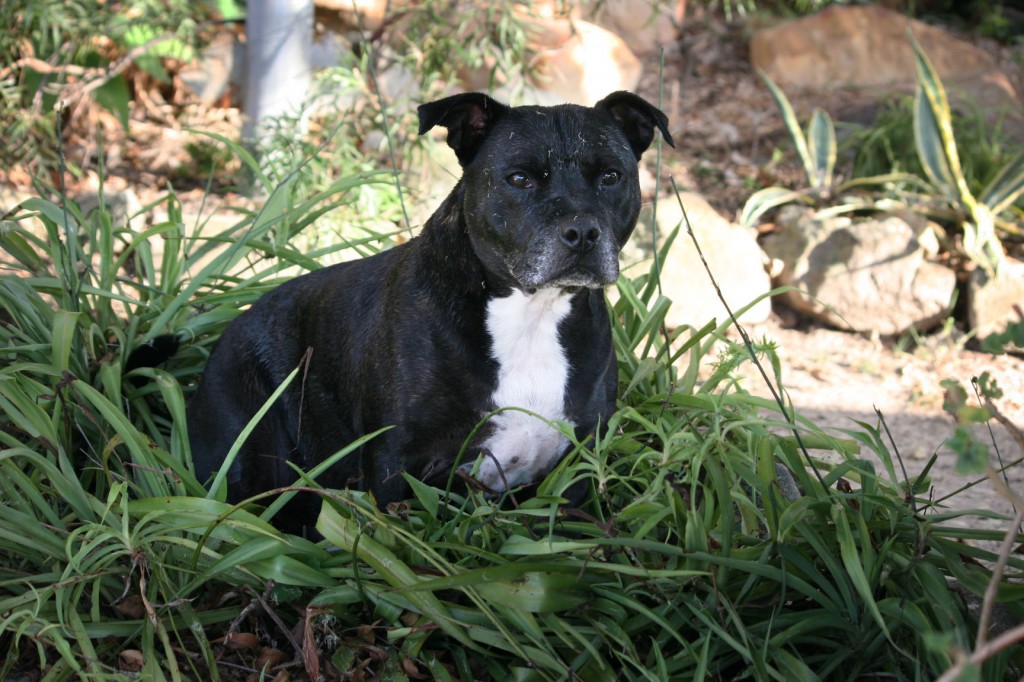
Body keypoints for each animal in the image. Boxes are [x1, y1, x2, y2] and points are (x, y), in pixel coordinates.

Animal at [189, 90, 675, 528]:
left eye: (611, 176)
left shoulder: (578, 467)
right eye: (519, 179)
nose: (582, 232)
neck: (531, 314)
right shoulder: (394, 464)